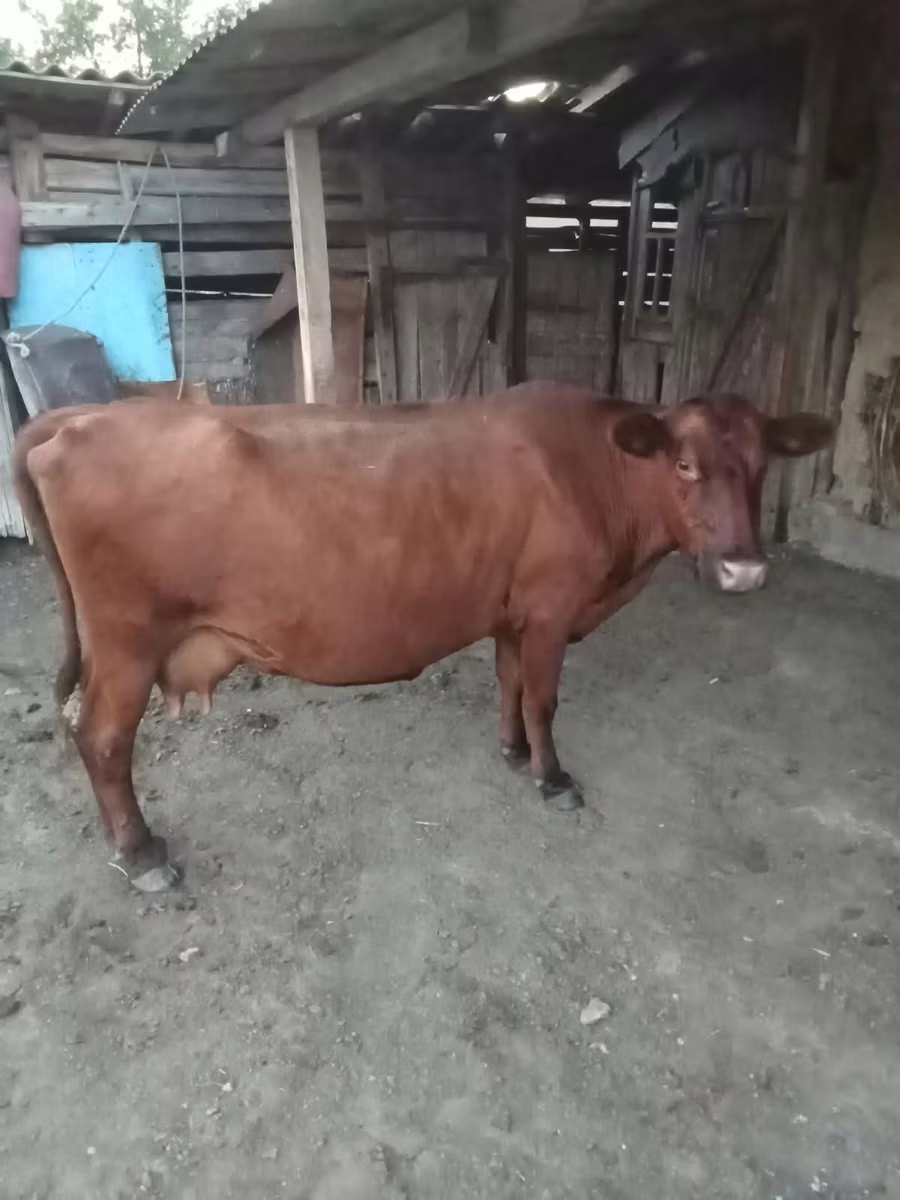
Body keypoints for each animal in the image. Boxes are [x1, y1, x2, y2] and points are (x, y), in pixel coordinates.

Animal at [14, 384, 831, 891]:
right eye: (685, 463)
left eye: (761, 466)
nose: (746, 568)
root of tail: (81, 416)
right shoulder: (552, 606)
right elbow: (543, 698)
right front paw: (552, 778)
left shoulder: (514, 610)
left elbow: (510, 684)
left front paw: (512, 753)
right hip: (126, 640)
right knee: (103, 741)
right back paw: (141, 853)